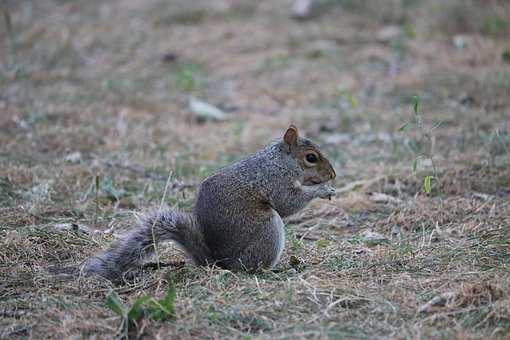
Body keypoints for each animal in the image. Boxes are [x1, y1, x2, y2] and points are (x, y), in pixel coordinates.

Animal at [85, 125, 336, 282]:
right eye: (311, 157)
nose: (333, 174)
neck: (280, 160)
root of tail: (217, 262)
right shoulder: (274, 180)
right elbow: (287, 203)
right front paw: (322, 190)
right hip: (268, 228)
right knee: (251, 268)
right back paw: (275, 271)